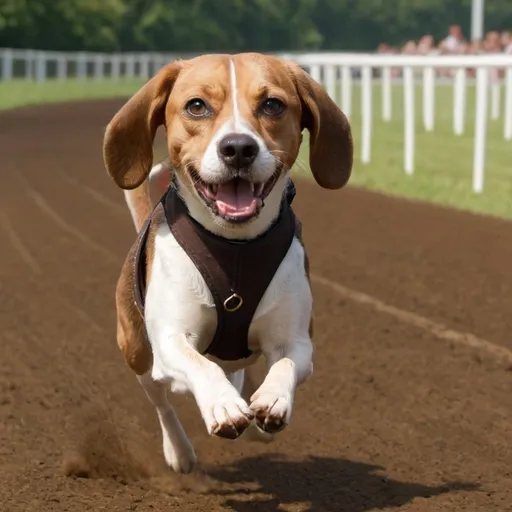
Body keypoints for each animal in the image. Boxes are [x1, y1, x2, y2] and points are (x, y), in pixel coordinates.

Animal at [102, 53, 354, 476]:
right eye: (196, 106)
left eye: (272, 104)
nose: (238, 148)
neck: (234, 246)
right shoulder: (170, 339)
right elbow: (201, 367)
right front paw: (221, 406)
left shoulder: (296, 339)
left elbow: (285, 364)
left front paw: (271, 400)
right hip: (137, 351)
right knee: (163, 401)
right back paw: (180, 451)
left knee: (237, 370)